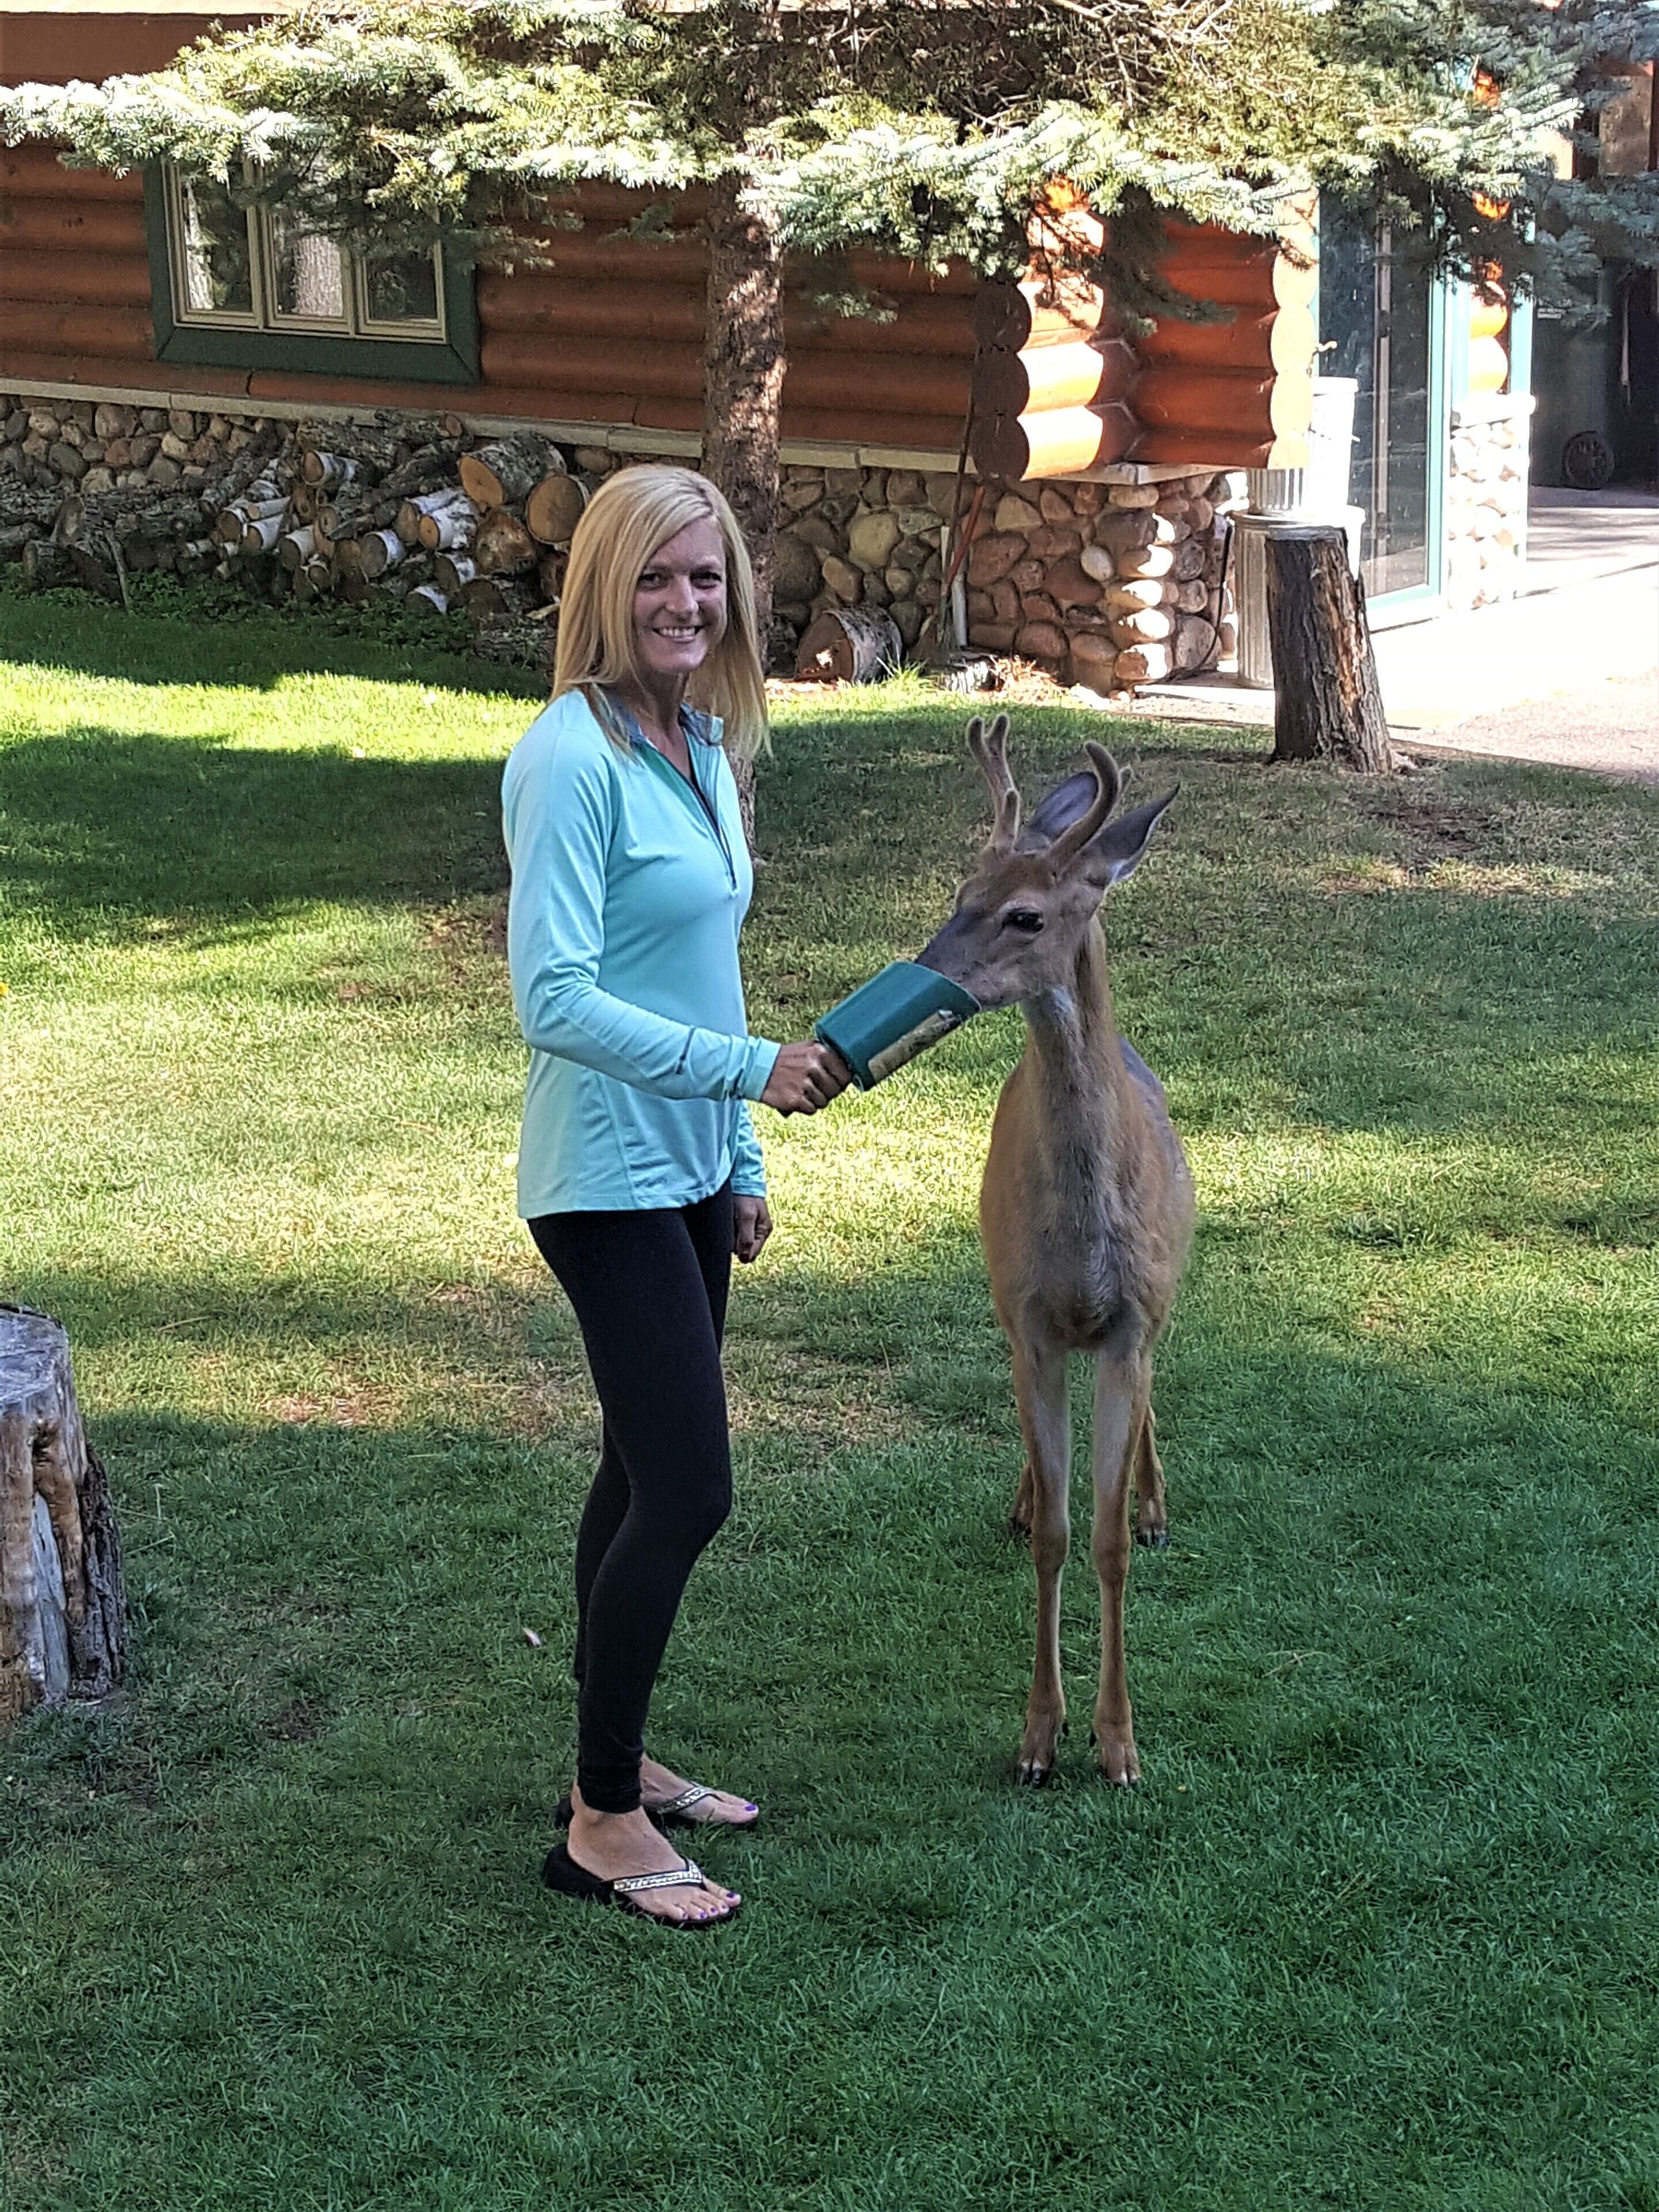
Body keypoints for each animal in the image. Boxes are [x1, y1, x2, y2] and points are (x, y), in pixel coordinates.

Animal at [915, 714, 1195, 1788]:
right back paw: (1025, 1499)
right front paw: (1040, 1737)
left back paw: (1157, 1505)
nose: (929, 969)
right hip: (1006, 1306)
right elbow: (1062, 1539)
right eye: (962, 893)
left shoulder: (1127, 1326)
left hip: (1162, 1306)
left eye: (1026, 916)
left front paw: (1118, 1745)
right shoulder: (1034, 1321)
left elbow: (1108, 1540)